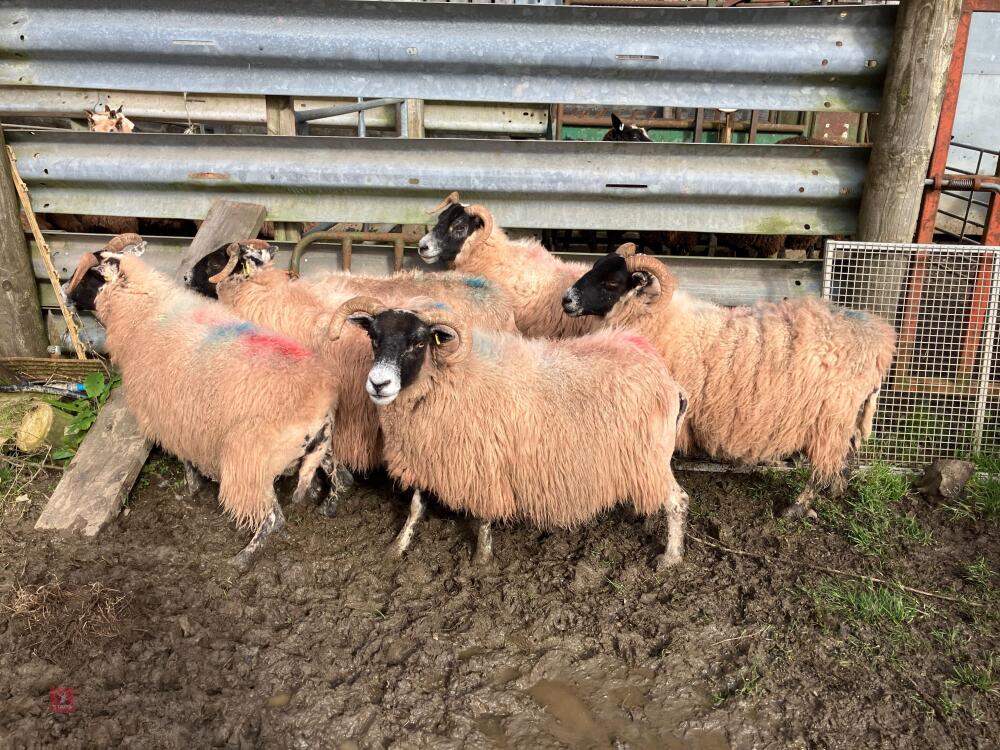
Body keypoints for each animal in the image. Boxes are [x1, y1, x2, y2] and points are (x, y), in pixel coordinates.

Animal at [63, 237, 339, 569]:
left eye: (88, 275)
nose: (63, 290)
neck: (144, 312)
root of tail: (320, 404)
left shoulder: (171, 415)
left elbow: (186, 462)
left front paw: (191, 490)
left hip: (250, 461)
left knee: (274, 518)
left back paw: (242, 558)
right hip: (317, 449)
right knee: (339, 478)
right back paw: (325, 505)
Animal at [331, 296, 690, 568]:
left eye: (419, 342)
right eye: (374, 338)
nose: (378, 384)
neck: (447, 379)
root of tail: (667, 378)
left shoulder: (484, 462)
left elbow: (483, 515)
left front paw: (481, 558)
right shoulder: (427, 453)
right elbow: (416, 507)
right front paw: (398, 546)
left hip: (651, 456)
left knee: (678, 501)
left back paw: (670, 557)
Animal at [563, 244, 896, 518]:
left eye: (611, 283)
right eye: (594, 268)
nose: (566, 300)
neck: (656, 318)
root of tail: (879, 339)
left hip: (830, 420)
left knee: (820, 470)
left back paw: (796, 508)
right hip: (845, 420)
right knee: (843, 459)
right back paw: (837, 492)